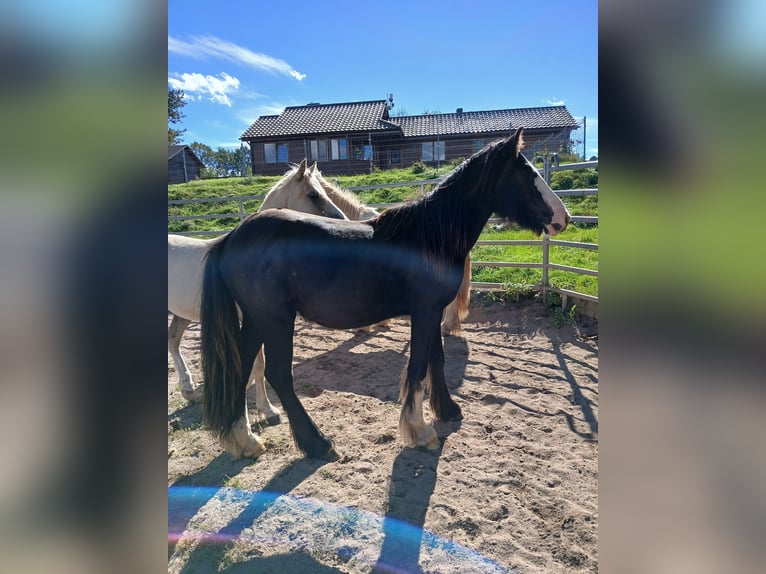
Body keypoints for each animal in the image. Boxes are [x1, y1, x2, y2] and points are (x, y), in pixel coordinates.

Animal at [170, 162, 348, 414]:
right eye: (313, 194)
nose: (342, 221)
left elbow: (259, 365)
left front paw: (265, 407)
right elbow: (257, 363)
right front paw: (267, 410)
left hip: (181, 314)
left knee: (173, 341)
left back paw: (188, 388)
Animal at [201, 128, 572, 462]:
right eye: (526, 175)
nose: (563, 218)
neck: (429, 236)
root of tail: (232, 237)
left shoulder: (434, 311)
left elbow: (436, 360)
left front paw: (447, 409)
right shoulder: (424, 311)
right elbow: (418, 367)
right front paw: (420, 432)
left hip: (256, 320)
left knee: (241, 367)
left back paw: (245, 441)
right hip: (275, 319)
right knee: (279, 374)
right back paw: (318, 444)